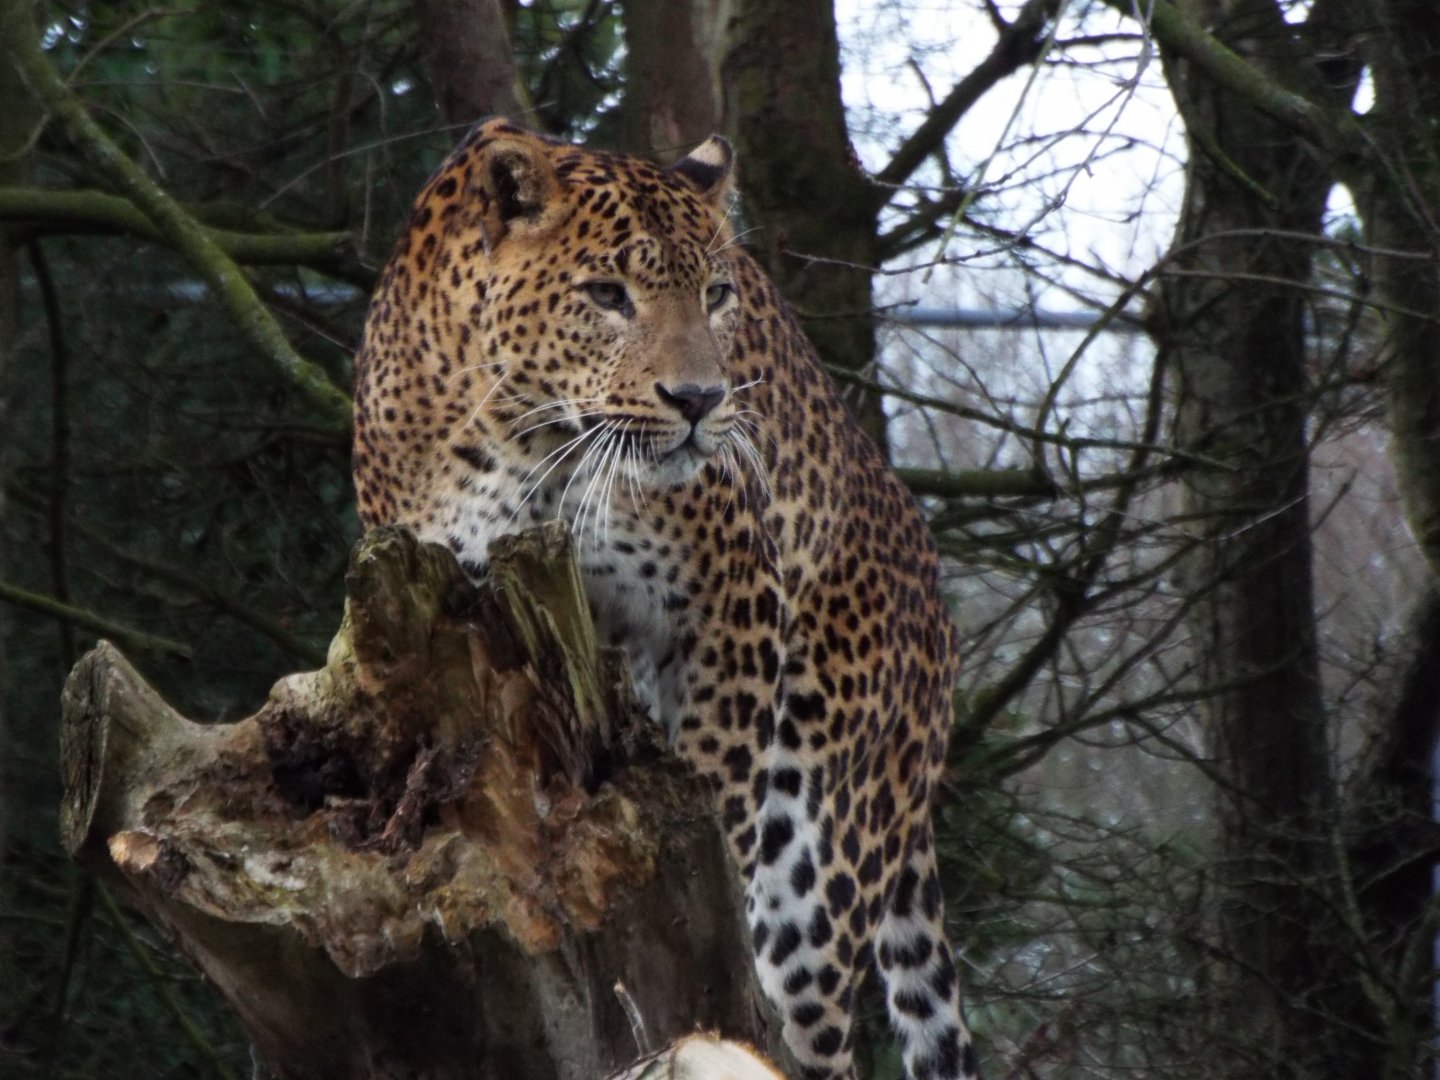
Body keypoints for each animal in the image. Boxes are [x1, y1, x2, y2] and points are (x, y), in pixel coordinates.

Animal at [352, 118, 978, 1080]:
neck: (523, 441)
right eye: (608, 294)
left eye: (716, 294)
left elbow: (717, 791)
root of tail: (940, 612)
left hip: (824, 831)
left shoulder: (728, 600)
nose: (700, 399)